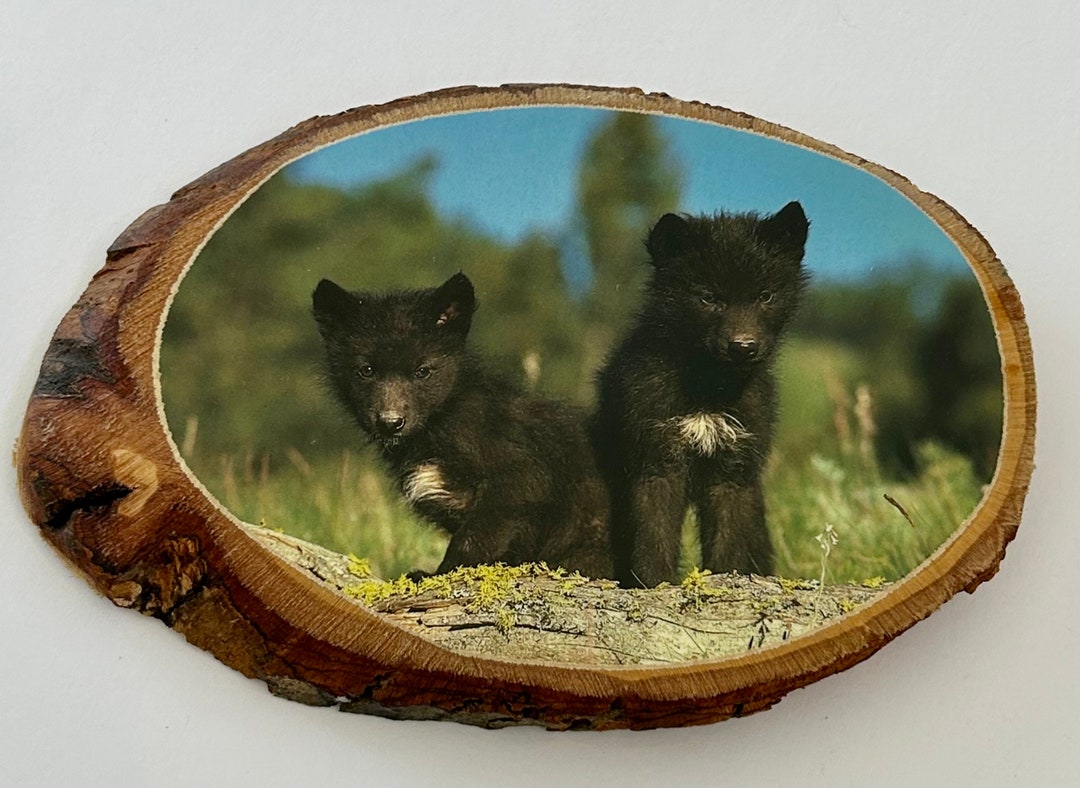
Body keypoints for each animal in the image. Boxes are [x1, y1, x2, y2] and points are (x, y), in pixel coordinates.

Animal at [312, 272, 612, 578]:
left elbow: (470, 542)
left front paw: (434, 576)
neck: (443, 423)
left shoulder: (518, 482)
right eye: (366, 371)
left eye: (423, 371)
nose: (390, 423)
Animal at [593, 202, 810, 587]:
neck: (709, 389)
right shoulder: (657, 461)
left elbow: (727, 544)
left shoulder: (732, 472)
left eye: (765, 296)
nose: (743, 347)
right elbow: (654, 538)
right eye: (709, 298)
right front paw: (655, 585)